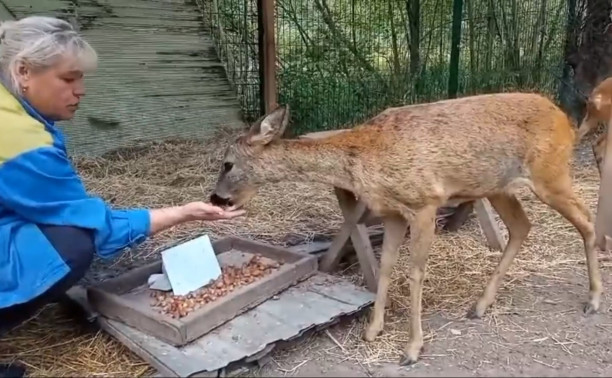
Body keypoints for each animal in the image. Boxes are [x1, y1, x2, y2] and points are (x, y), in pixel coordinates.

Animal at [210, 92, 604, 366]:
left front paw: (412, 349)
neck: (364, 159)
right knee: (522, 226)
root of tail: (566, 120)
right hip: (498, 187)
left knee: (585, 220)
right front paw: (373, 330)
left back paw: (594, 299)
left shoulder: (425, 202)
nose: (215, 198)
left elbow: (415, 274)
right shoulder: (392, 213)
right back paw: (480, 305)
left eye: (227, 164)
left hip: (550, 173)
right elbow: (385, 266)